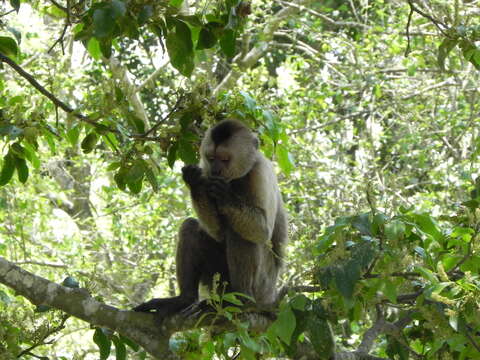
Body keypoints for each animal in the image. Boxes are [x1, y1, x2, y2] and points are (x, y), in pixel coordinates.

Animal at [133, 119, 286, 316]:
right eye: (211, 158)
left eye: (225, 159)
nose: (216, 170)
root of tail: (271, 295)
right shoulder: (206, 170)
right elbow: (217, 232)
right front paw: (195, 182)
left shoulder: (260, 173)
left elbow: (262, 231)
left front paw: (225, 195)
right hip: (218, 282)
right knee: (190, 227)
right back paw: (184, 299)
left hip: (263, 285)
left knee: (241, 235)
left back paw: (241, 300)